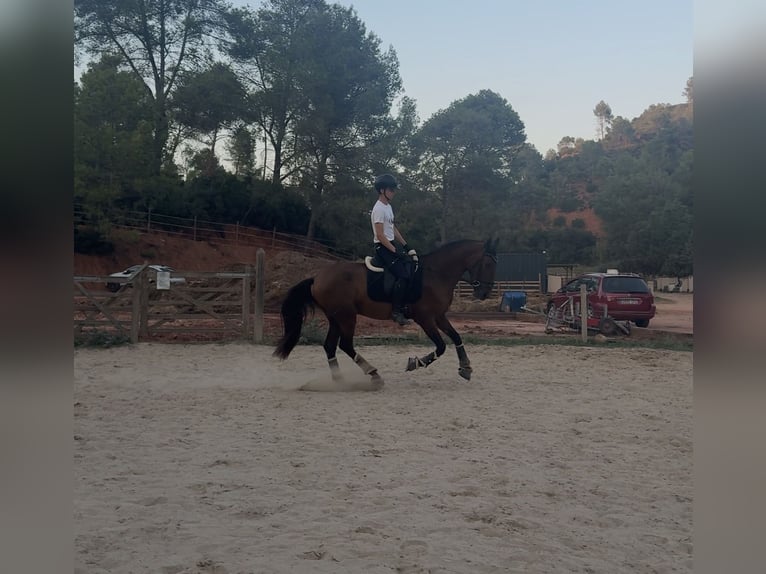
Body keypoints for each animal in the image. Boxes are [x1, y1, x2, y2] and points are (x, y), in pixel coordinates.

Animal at [273, 238, 499, 385]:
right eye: (488, 263)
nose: (484, 292)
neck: (436, 274)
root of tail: (317, 278)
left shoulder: (439, 316)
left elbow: (457, 337)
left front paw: (466, 368)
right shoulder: (425, 318)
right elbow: (442, 346)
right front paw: (415, 363)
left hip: (336, 317)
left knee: (330, 346)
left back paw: (339, 380)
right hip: (347, 316)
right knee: (345, 345)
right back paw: (373, 374)